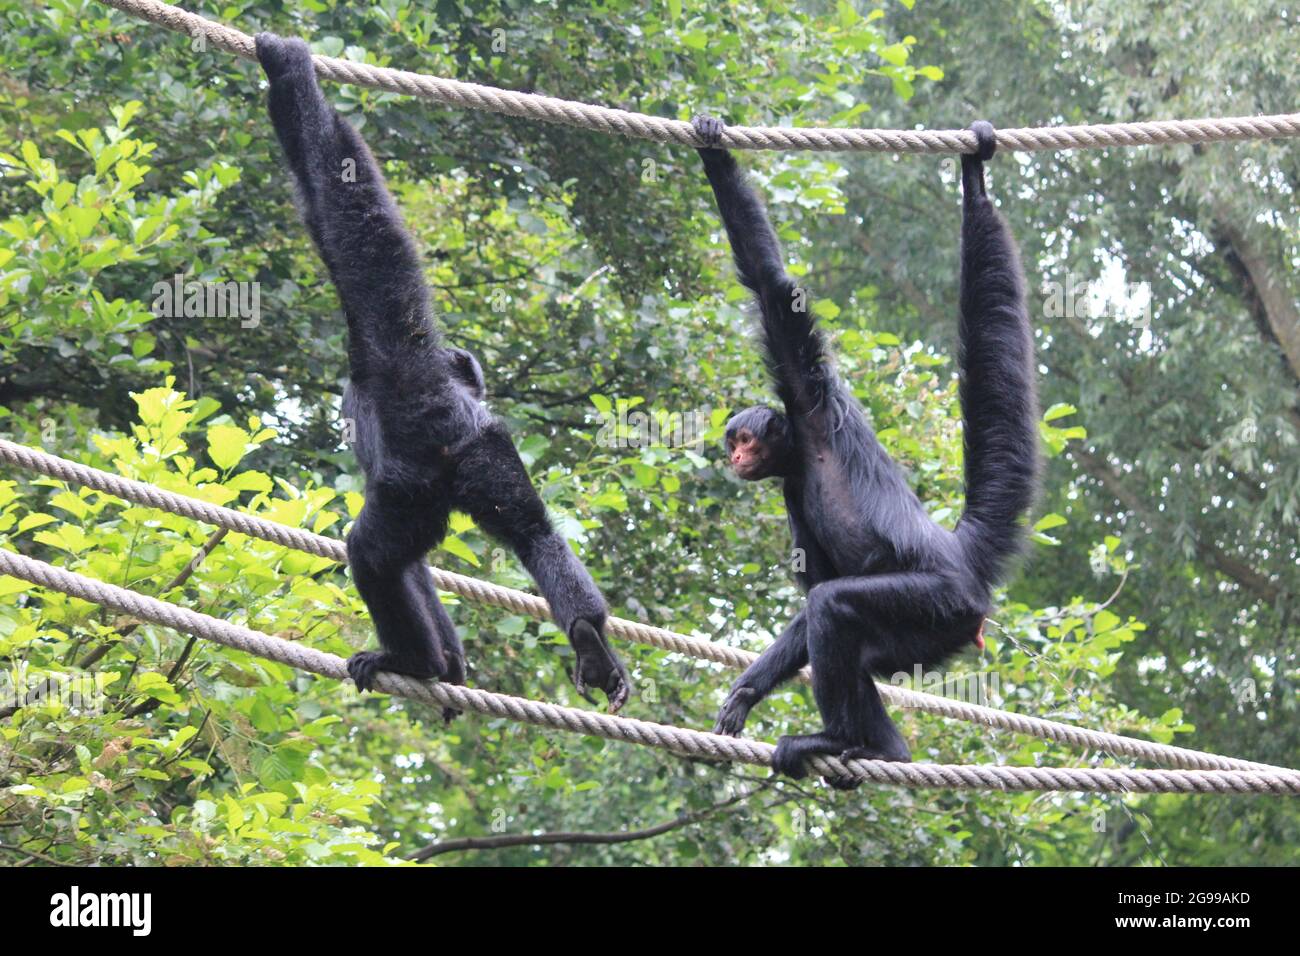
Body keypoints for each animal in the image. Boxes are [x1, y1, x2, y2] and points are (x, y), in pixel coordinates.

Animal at [256, 33, 630, 712]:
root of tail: (458, 438)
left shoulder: (378, 342)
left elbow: (347, 201)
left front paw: (287, 65)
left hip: (415, 492)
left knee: (373, 554)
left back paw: (414, 660)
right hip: (493, 461)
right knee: (533, 531)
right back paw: (581, 636)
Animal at [692, 116, 1037, 785]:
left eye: (745, 439)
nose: (736, 457)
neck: (803, 451)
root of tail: (958, 552)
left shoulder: (808, 388)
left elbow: (771, 285)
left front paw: (712, 149)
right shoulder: (791, 491)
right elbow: (809, 603)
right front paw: (746, 692)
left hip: (937, 601)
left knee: (836, 607)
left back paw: (849, 741)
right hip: (926, 635)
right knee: (846, 634)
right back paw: (883, 748)